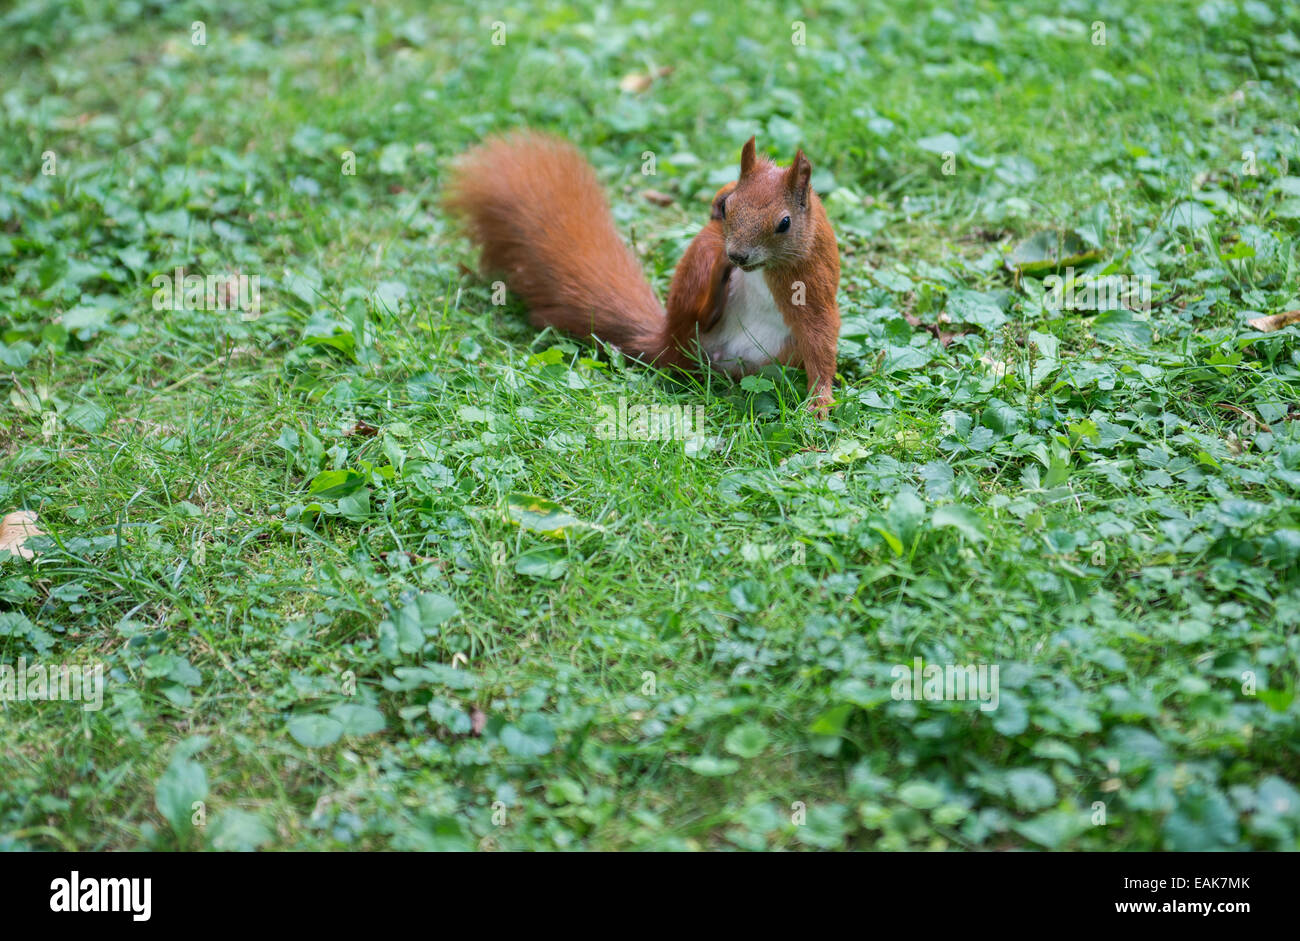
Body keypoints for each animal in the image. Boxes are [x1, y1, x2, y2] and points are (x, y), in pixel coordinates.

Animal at [441, 131, 837, 408]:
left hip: (776, 354)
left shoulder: (810, 279)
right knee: (697, 303)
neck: (762, 269)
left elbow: (820, 336)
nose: (738, 255)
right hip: (691, 284)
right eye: (727, 207)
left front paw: (818, 403)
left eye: (784, 223)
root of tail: (669, 344)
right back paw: (714, 280)